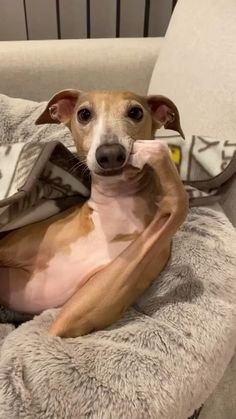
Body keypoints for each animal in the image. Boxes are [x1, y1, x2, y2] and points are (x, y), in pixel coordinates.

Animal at [0, 89, 189, 338]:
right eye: (84, 114)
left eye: (136, 112)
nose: (110, 154)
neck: (115, 212)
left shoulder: (72, 316)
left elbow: (179, 201)